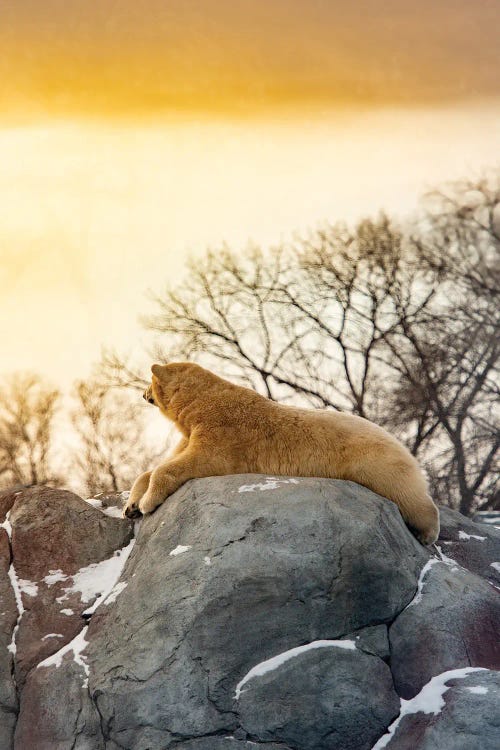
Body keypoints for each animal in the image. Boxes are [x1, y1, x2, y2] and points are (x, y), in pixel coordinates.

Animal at [123, 364, 440, 548]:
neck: (202, 402)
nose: (141, 394)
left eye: (148, 382)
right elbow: (153, 468)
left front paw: (148, 502)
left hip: (375, 461)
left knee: (407, 493)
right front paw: (131, 505)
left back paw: (427, 532)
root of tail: (401, 444)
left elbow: (199, 460)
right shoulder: (191, 432)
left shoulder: (223, 431)